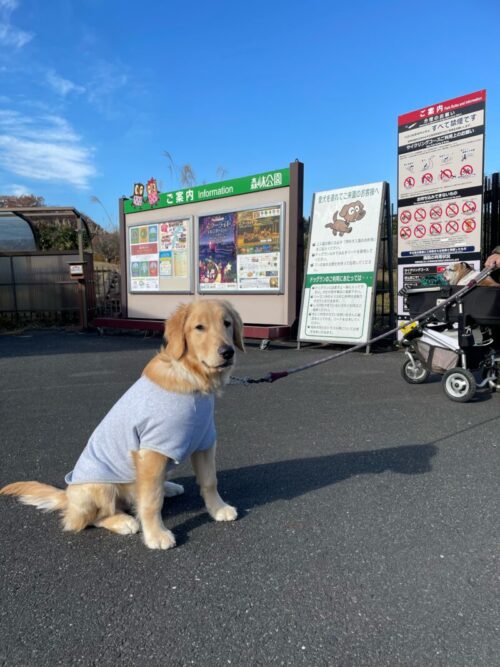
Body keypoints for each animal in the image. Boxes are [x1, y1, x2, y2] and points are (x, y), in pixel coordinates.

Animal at [0, 300, 244, 552]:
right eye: (199, 327)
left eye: (226, 323)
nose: (228, 352)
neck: (191, 378)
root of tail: (67, 497)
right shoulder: (151, 450)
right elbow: (151, 501)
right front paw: (156, 534)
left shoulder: (205, 441)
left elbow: (210, 480)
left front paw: (218, 509)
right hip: (100, 486)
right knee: (90, 519)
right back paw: (123, 521)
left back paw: (168, 487)